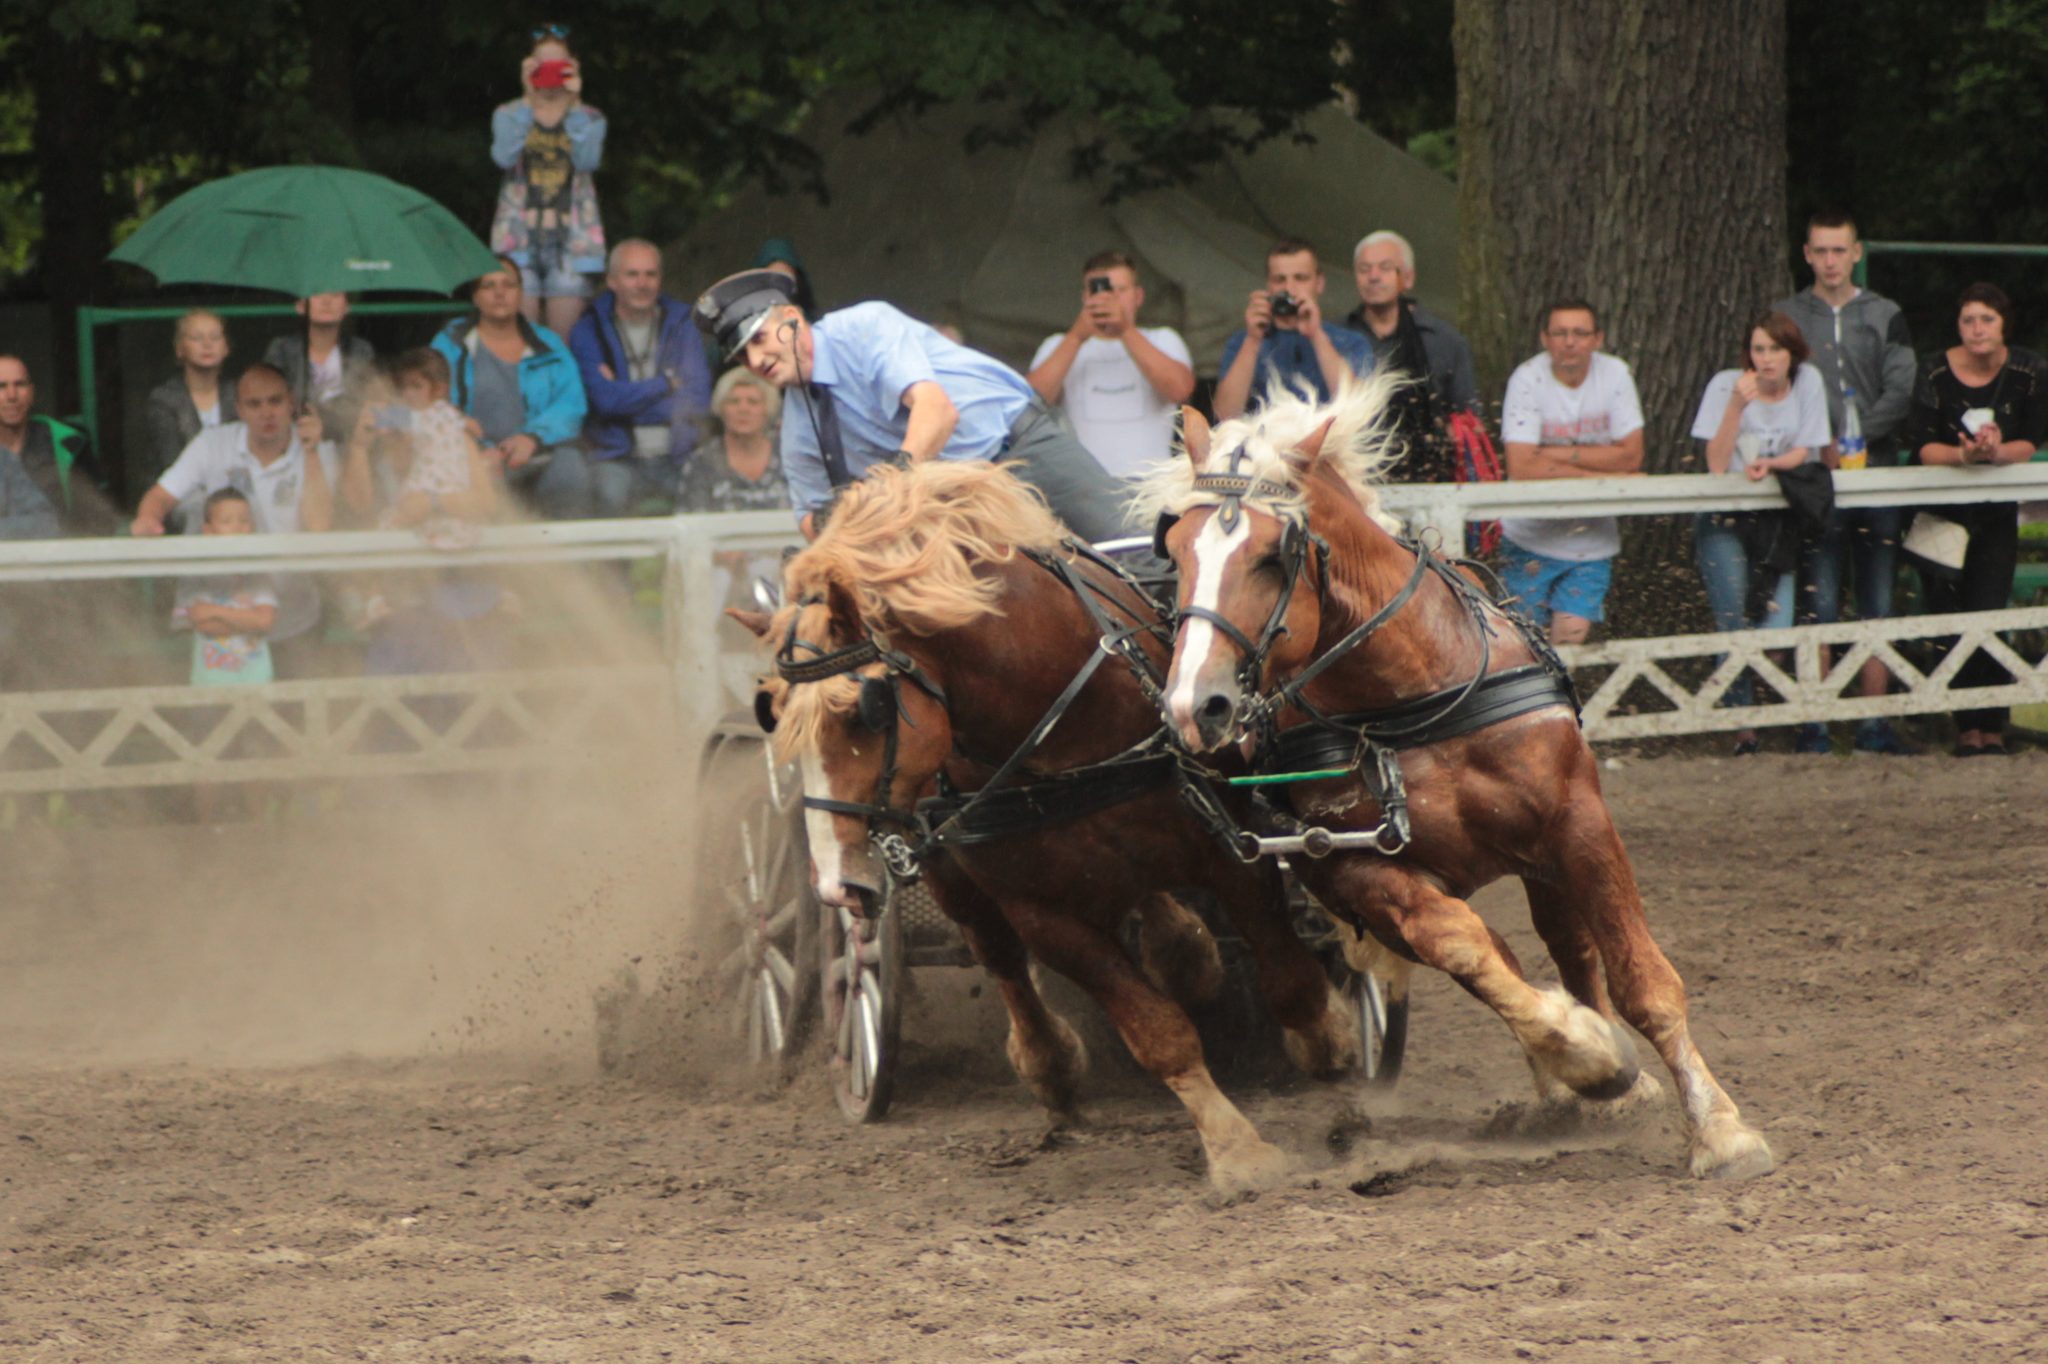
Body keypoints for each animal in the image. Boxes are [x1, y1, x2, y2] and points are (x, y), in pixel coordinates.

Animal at [745, 458, 1368, 1187]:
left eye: (863, 711)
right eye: (776, 715)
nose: (836, 886)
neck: (1058, 717)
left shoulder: (1229, 850)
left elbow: (1290, 979)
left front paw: (1333, 1048)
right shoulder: (1042, 911)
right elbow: (1155, 1031)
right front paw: (1236, 1148)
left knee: (1151, 910)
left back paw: (1186, 954)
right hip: (947, 869)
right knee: (999, 955)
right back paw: (1050, 1063)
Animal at [1138, 376, 1777, 1171]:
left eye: (1269, 555)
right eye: (1175, 549)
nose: (1196, 705)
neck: (1408, 696)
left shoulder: (1577, 823)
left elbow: (1641, 981)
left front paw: (1719, 1129)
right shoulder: (1354, 872)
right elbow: (1467, 948)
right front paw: (1587, 1058)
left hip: (1543, 858)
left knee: (1570, 946)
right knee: (1503, 953)